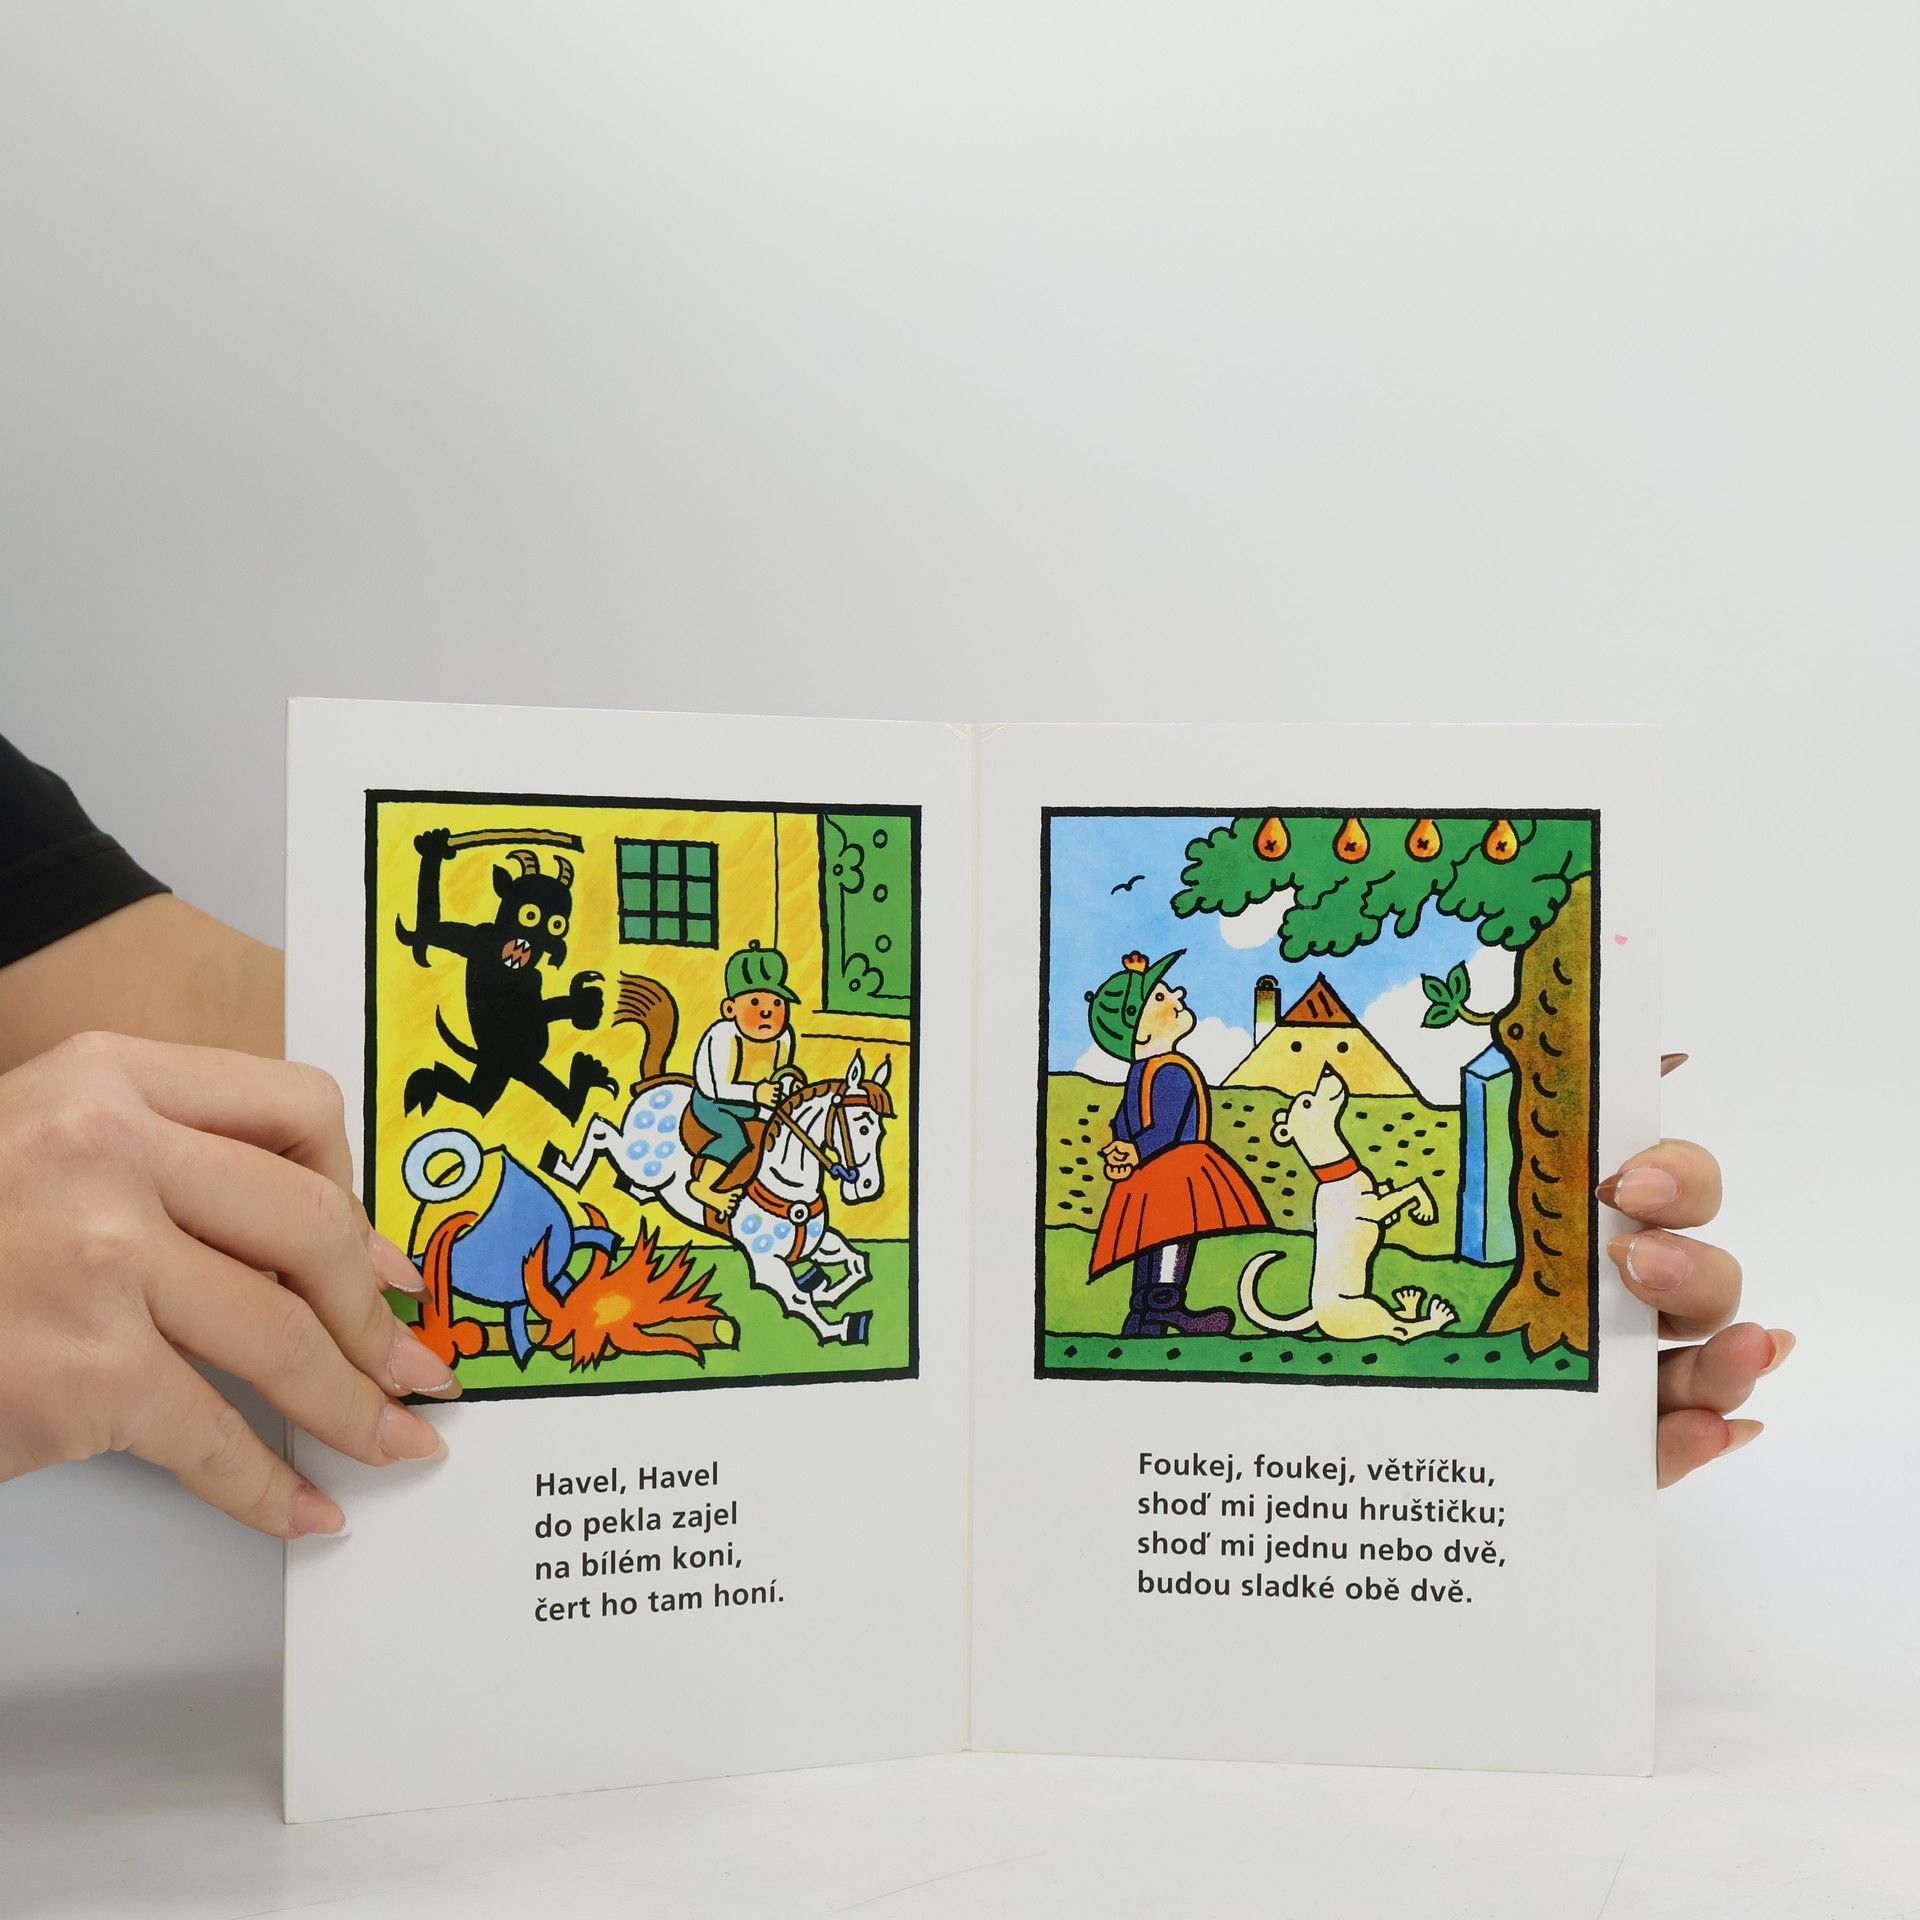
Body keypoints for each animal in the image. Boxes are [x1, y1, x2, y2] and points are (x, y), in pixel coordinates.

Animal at [542, 1010, 893, 1346]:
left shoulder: (815, 1243)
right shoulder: (766, 1262)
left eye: (880, 1130)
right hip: (636, 1157)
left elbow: (858, 1263)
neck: (787, 1182)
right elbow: (798, 1298)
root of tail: (658, 1083)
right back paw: (564, 1169)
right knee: (601, 1129)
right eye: (862, 1126)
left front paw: (825, 1290)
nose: (868, 1187)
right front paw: (837, 1330)